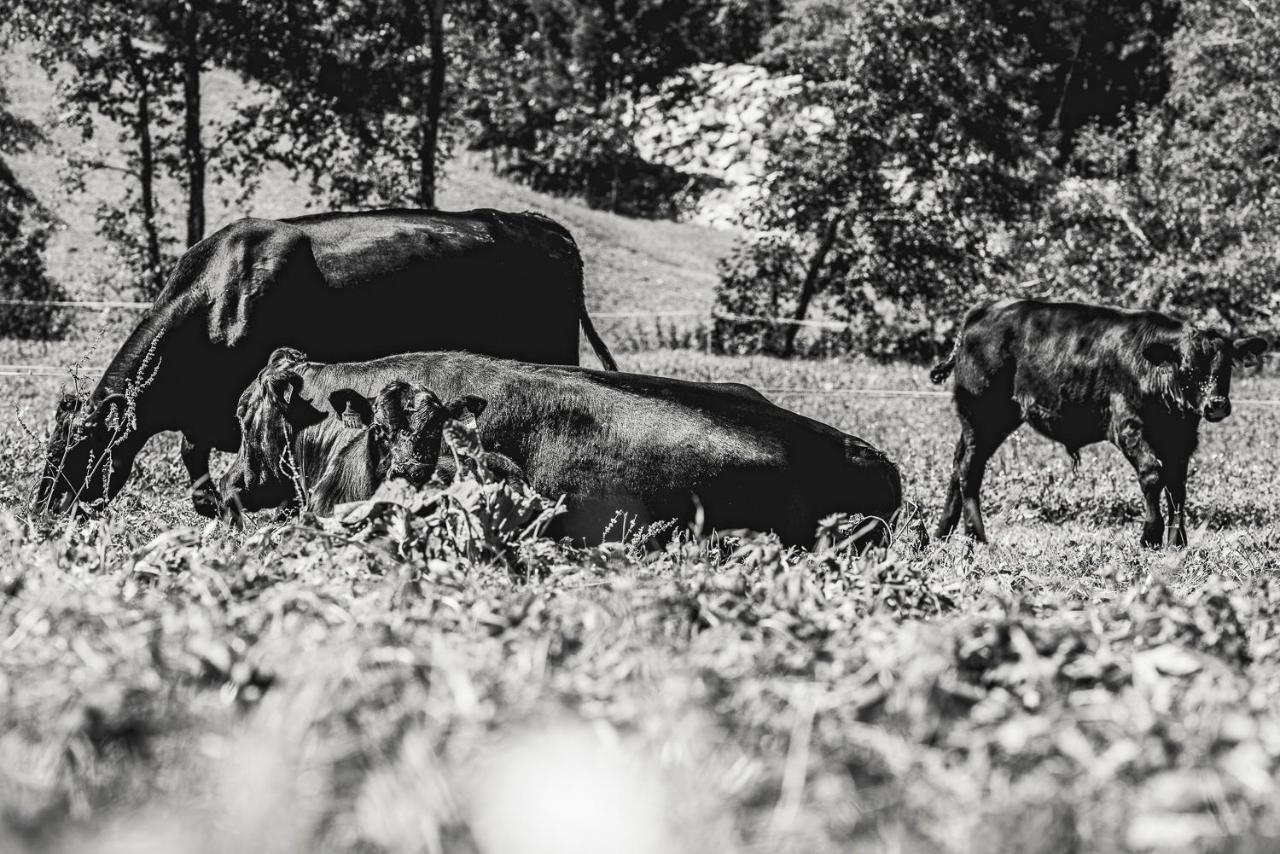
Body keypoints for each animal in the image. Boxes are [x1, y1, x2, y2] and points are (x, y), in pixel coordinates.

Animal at [931, 297, 1269, 545]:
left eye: (1226, 367)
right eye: (1187, 368)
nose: (1216, 405)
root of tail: (986, 309)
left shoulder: (1181, 440)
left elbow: (1177, 487)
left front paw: (1178, 541)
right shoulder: (1127, 427)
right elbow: (1152, 474)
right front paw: (1150, 535)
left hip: (983, 421)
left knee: (957, 464)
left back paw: (942, 531)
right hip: (983, 415)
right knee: (969, 470)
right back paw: (976, 535)